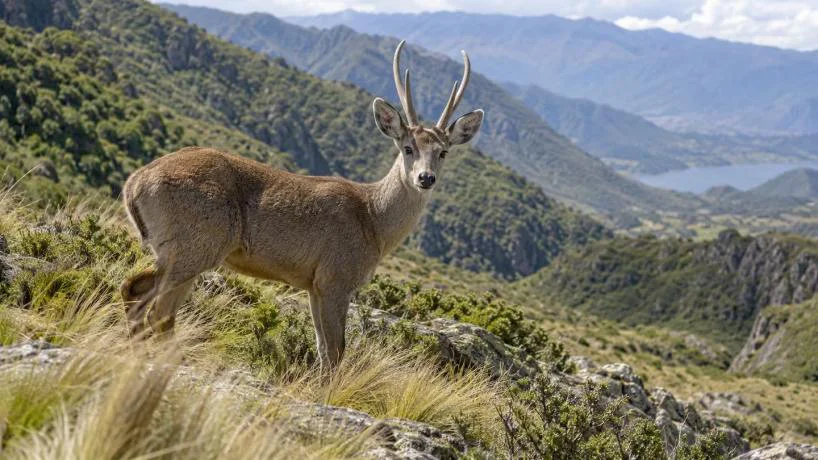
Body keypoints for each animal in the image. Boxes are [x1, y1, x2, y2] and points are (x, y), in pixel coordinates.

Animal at [119, 40, 484, 369]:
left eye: (443, 152)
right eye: (407, 147)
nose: (426, 178)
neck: (372, 221)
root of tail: (134, 183)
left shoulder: (313, 284)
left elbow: (323, 349)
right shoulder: (336, 275)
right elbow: (337, 351)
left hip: (185, 250)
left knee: (148, 303)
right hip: (195, 243)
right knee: (146, 301)